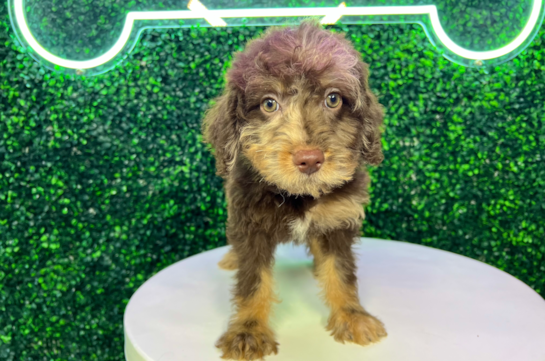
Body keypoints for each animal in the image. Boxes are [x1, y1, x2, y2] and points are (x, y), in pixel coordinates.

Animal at [202, 20, 384, 360]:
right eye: (269, 103)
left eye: (333, 99)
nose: (309, 159)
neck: (297, 194)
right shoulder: (251, 224)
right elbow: (253, 281)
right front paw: (248, 332)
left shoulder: (338, 222)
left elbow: (341, 271)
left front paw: (352, 316)